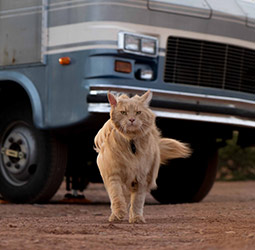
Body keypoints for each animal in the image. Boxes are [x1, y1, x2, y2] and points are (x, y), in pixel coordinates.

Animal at [94, 91, 190, 224]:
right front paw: (119, 212)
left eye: (138, 112)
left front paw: (136, 218)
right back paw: (115, 215)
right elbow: (116, 195)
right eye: (123, 112)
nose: (132, 119)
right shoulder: (113, 174)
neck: (131, 141)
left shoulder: (142, 178)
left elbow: (137, 201)